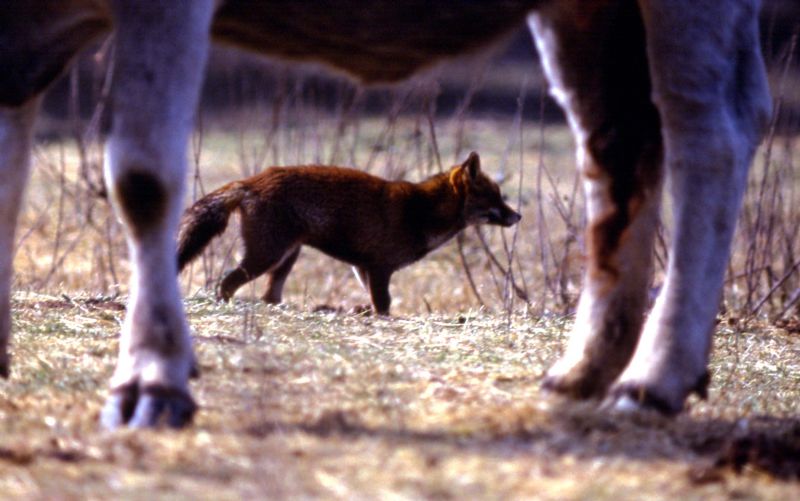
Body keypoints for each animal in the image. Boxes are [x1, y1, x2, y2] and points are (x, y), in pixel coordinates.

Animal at [178, 151, 520, 312]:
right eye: (494, 197)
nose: (518, 215)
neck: (420, 212)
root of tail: (251, 180)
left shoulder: (363, 268)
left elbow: (375, 305)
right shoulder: (380, 268)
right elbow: (384, 306)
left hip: (286, 258)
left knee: (268, 296)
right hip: (267, 256)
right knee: (226, 284)